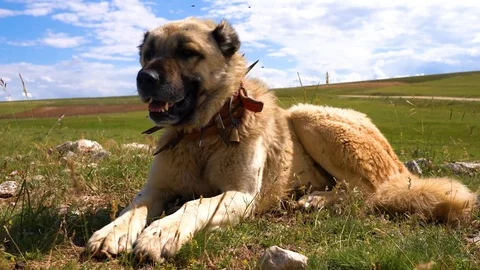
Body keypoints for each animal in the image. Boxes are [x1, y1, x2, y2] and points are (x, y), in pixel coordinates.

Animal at [87, 17, 476, 262]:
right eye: (148, 53)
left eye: (187, 52)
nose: (144, 77)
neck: (204, 132)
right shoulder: (156, 189)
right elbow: (134, 207)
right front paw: (113, 230)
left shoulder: (240, 195)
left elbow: (193, 204)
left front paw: (161, 233)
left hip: (307, 115)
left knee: (367, 193)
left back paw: (315, 201)